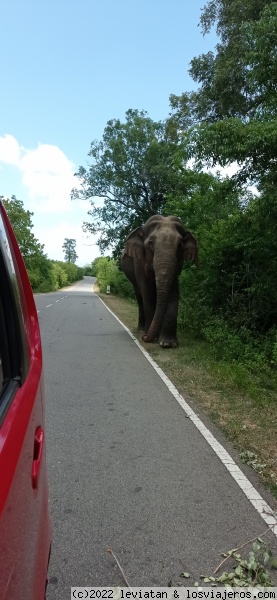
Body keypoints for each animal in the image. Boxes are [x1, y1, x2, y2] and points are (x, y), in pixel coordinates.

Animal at [119, 214, 197, 346]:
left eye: (180, 245)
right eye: (150, 243)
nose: (144, 338)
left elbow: (173, 291)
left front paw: (167, 343)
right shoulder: (138, 260)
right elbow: (146, 292)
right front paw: (154, 339)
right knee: (139, 295)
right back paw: (142, 329)